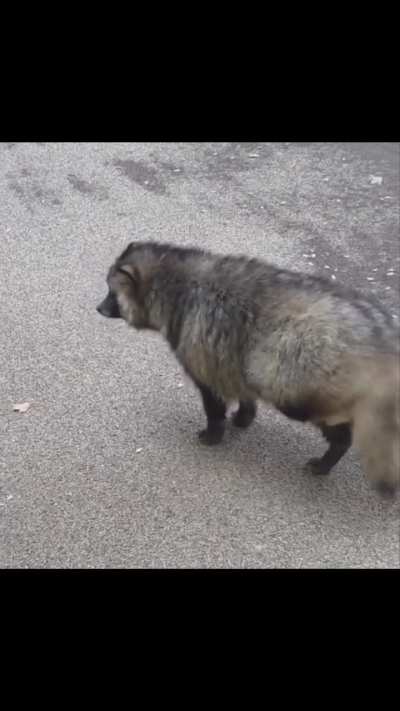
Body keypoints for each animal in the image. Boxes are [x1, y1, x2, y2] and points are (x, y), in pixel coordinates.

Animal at [97, 241, 400, 497]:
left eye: (112, 292)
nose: (98, 308)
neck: (177, 282)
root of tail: (382, 335)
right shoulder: (230, 354)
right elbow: (240, 385)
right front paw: (244, 415)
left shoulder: (199, 343)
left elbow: (213, 400)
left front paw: (213, 432)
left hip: (307, 376)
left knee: (336, 424)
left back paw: (331, 455)